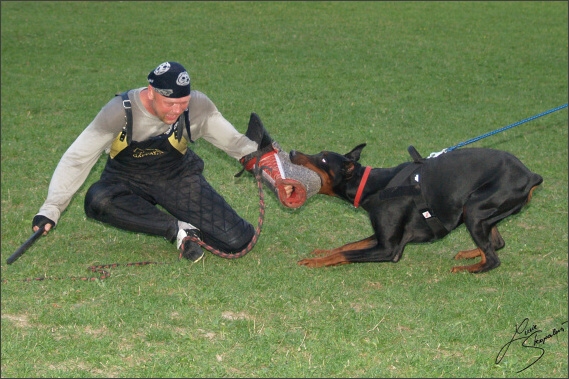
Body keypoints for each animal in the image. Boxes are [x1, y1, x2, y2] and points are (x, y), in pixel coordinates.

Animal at [288, 143, 540, 274]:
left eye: (322, 159)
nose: (291, 152)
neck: (372, 186)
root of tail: (531, 175)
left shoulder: (389, 249)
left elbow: (345, 253)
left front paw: (314, 262)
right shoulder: (381, 236)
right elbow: (347, 245)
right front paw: (322, 252)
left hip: (475, 209)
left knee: (493, 259)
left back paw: (466, 268)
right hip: (482, 211)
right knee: (497, 243)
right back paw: (470, 253)